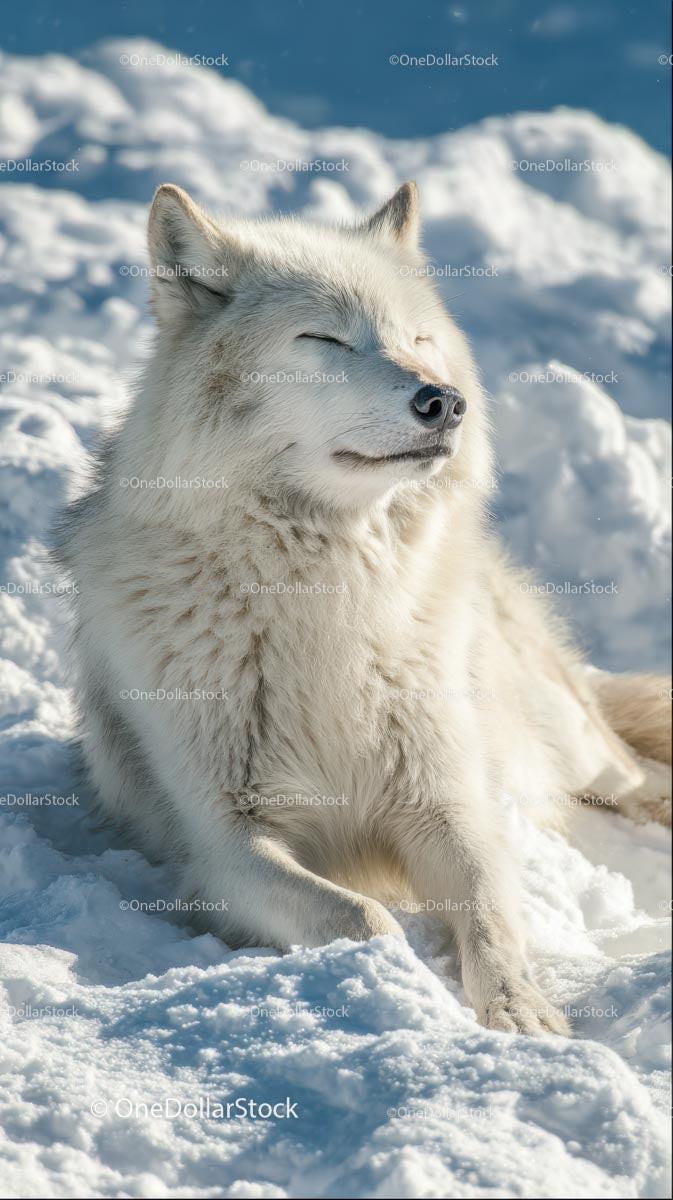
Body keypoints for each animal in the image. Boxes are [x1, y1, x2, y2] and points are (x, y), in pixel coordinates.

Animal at [55, 181, 671, 1036]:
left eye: (417, 339)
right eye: (325, 339)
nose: (445, 401)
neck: (330, 594)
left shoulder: (445, 804)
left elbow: (490, 912)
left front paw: (520, 1014)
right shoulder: (227, 845)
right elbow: (360, 915)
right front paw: (401, 984)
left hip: (572, 741)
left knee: (637, 774)